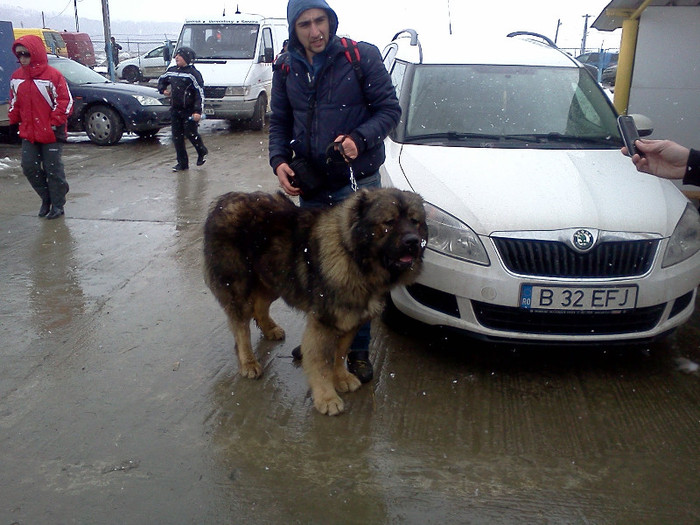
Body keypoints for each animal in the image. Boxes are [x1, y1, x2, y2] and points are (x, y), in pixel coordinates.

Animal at [204, 188, 426, 414]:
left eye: (415, 221)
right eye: (389, 222)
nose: (413, 241)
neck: (354, 258)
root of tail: (224, 200)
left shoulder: (350, 318)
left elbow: (340, 353)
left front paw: (342, 378)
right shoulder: (324, 323)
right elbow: (322, 362)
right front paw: (327, 398)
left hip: (275, 277)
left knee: (259, 306)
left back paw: (270, 329)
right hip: (239, 284)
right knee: (241, 328)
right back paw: (248, 363)